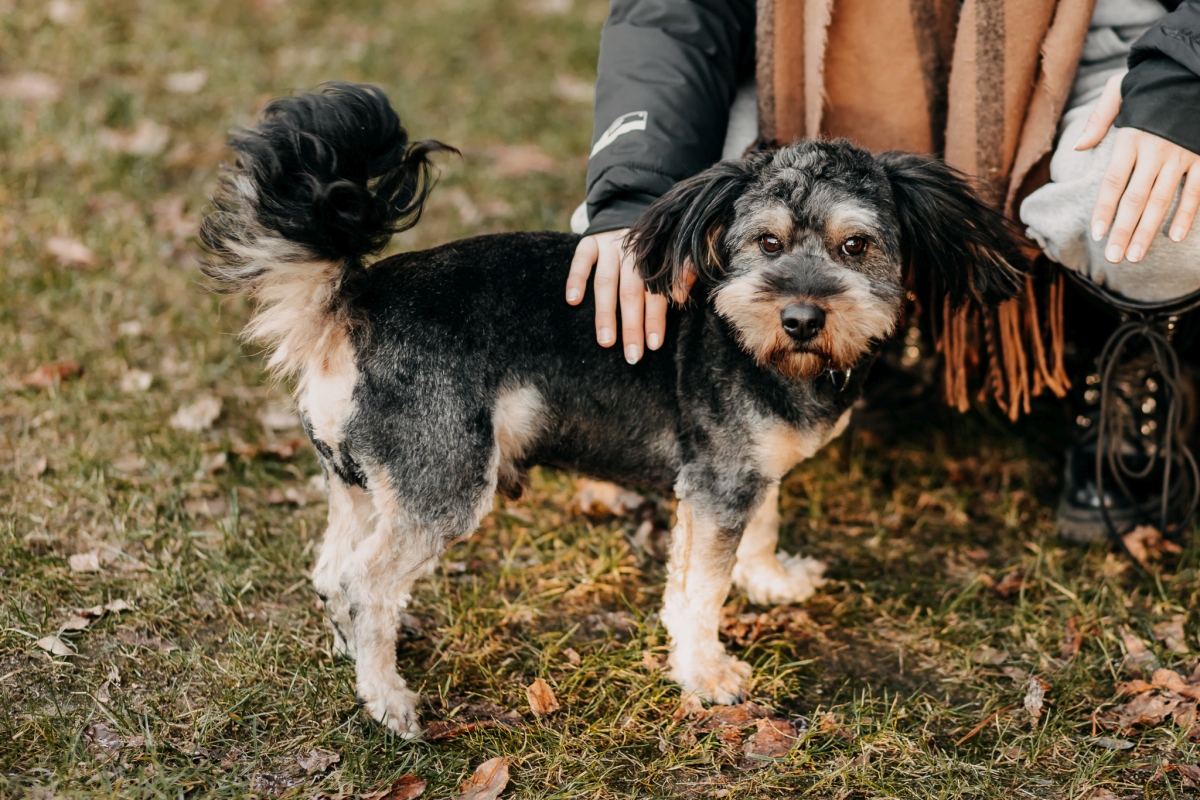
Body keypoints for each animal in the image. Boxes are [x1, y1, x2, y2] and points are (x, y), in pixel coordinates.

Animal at [200, 83, 1025, 734]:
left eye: (857, 246)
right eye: (767, 242)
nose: (800, 317)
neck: (762, 350)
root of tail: (353, 299)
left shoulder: (736, 478)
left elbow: (752, 535)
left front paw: (769, 581)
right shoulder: (719, 482)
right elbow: (700, 593)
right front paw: (707, 673)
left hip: (363, 484)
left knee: (333, 572)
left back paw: (362, 657)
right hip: (444, 482)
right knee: (366, 585)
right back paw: (388, 698)